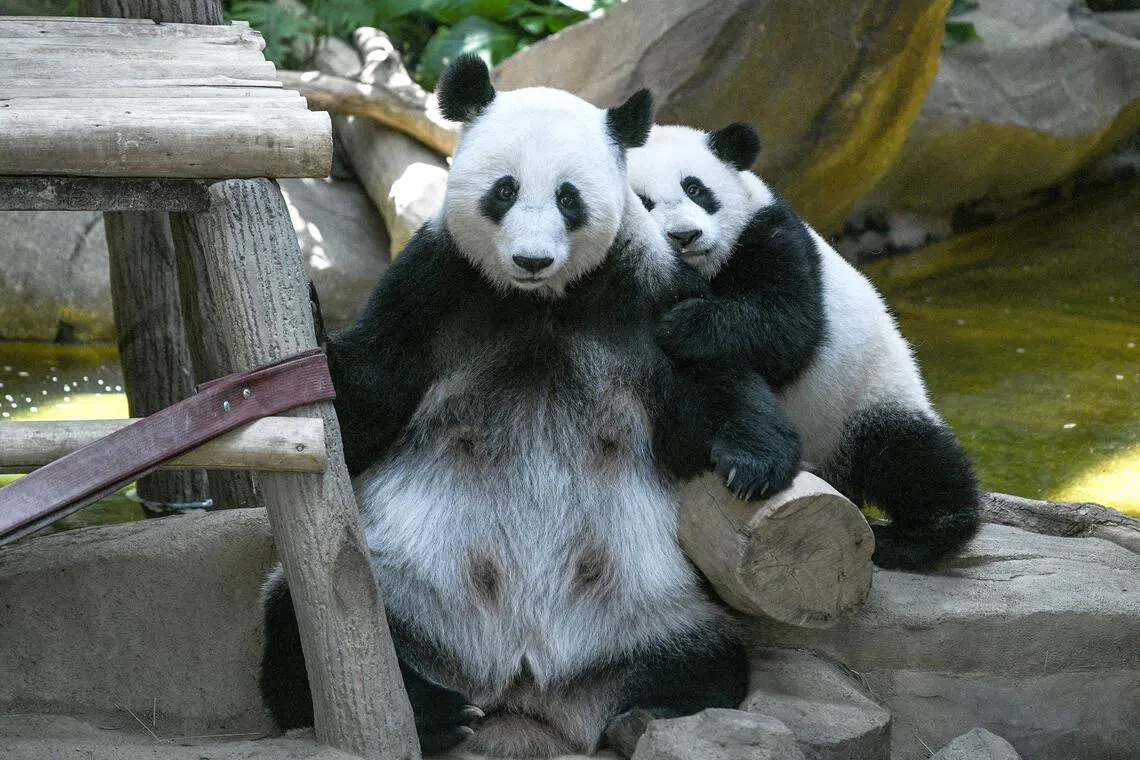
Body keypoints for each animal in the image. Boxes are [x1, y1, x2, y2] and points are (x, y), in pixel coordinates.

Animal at [259, 59, 803, 758]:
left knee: (709, 660)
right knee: (303, 623)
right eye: (504, 190)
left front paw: (753, 463)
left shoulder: (642, 290)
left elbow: (707, 384)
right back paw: (435, 713)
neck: (541, 302)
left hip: (652, 607)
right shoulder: (436, 286)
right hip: (406, 586)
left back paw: (643, 714)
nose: (531, 259)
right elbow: (370, 387)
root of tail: (523, 686)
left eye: (570, 198)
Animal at [626, 123, 982, 571]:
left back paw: (917, 535)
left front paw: (686, 324)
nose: (685, 236)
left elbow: (787, 328)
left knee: (915, 459)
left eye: (695, 188)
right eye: (643, 201)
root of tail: (834, 473)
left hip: (864, 398)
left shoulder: (767, 233)